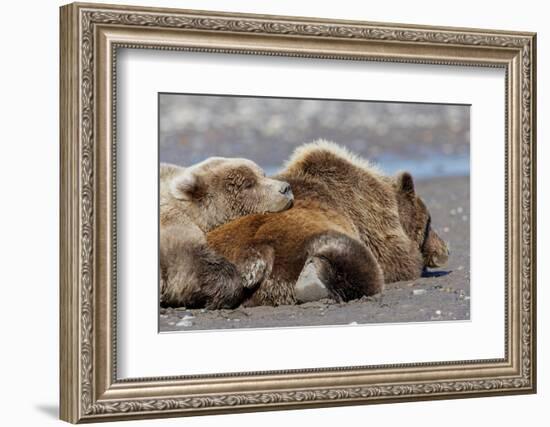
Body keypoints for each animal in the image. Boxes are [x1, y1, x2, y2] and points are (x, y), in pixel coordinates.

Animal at [209, 141, 450, 308]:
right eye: (430, 222)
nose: (445, 250)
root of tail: (255, 255)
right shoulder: (372, 220)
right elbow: (402, 261)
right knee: (360, 264)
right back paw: (313, 278)